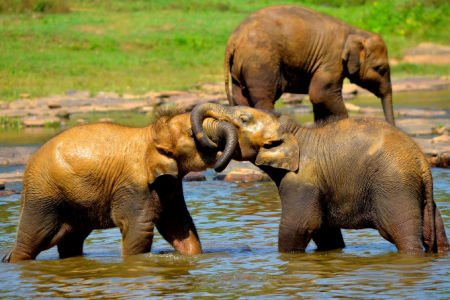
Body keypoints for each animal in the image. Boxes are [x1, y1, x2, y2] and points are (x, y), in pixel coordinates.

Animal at [1, 108, 239, 262]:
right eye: (192, 134)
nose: (219, 163)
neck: (151, 133)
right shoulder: (133, 185)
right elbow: (138, 229)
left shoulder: (169, 183)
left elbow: (178, 224)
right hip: (43, 196)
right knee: (32, 240)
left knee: (71, 241)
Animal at [192, 103, 448, 253]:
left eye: (244, 119)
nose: (215, 162)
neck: (296, 133)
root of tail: (421, 159)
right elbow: (325, 233)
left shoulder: (301, 181)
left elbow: (300, 226)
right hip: (417, 192)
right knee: (435, 231)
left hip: (393, 186)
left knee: (400, 233)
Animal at [224, 5, 394, 125]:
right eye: (381, 69)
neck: (355, 31)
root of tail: (233, 39)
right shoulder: (331, 59)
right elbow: (321, 95)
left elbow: (320, 101)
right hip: (261, 63)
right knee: (264, 98)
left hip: (240, 68)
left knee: (241, 98)